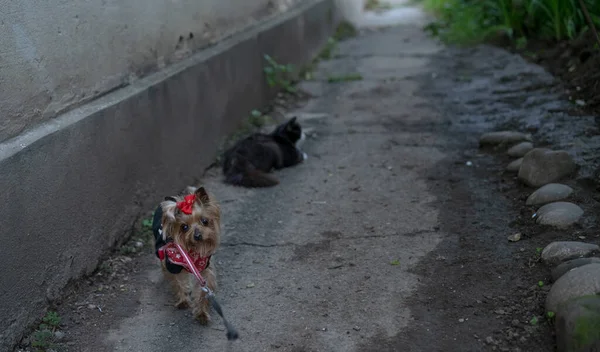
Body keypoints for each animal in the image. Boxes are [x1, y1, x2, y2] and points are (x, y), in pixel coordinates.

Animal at [154, 187, 221, 324]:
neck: (193, 252)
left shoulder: (204, 267)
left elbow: (203, 290)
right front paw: (183, 301)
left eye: (205, 221)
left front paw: (201, 313)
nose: (197, 235)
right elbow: (178, 282)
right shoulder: (172, 264)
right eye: (184, 227)